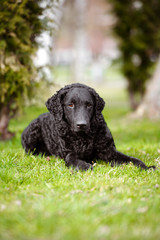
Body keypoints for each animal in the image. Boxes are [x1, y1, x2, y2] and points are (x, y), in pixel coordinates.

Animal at [21, 84, 155, 171]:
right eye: (70, 105)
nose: (82, 124)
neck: (83, 138)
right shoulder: (69, 153)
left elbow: (132, 159)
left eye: (89, 105)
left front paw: (146, 167)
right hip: (31, 134)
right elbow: (74, 161)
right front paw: (85, 166)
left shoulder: (109, 152)